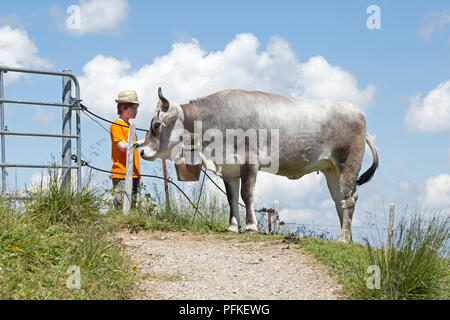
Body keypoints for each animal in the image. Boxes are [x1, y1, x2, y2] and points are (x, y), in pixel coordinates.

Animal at [140, 87, 376, 242]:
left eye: (156, 125)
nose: (141, 150)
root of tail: (357, 112)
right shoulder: (230, 169)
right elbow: (232, 198)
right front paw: (232, 227)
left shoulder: (249, 161)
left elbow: (247, 195)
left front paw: (251, 227)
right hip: (331, 169)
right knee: (339, 201)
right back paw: (348, 238)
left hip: (348, 163)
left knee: (349, 199)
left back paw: (343, 238)